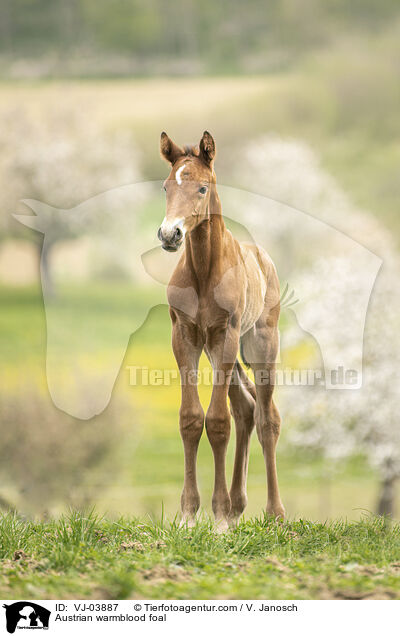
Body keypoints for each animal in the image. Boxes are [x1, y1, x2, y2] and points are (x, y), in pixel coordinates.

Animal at [156, 130, 284, 532]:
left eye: (201, 187)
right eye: (166, 186)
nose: (169, 234)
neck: (203, 271)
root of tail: (263, 257)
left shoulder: (225, 334)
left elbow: (217, 422)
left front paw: (219, 518)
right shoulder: (184, 336)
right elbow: (191, 418)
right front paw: (189, 514)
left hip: (259, 346)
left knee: (266, 417)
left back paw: (274, 513)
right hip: (218, 352)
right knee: (245, 406)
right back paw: (238, 505)